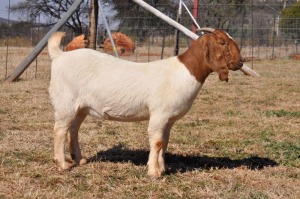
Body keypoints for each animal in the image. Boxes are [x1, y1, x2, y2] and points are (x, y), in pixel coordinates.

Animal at [47, 28, 244, 177]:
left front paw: (163, 168)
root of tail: (59, 56)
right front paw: (154, 172)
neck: (183, 72)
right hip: (66, 101)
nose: (241, 62)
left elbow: (165, 142)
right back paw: (63, 164)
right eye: (222, 42)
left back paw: (79, 159)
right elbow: (156, 141)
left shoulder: (169, 119)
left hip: (81, 107)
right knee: (59, 130)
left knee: (73, 129)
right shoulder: (159, 114)